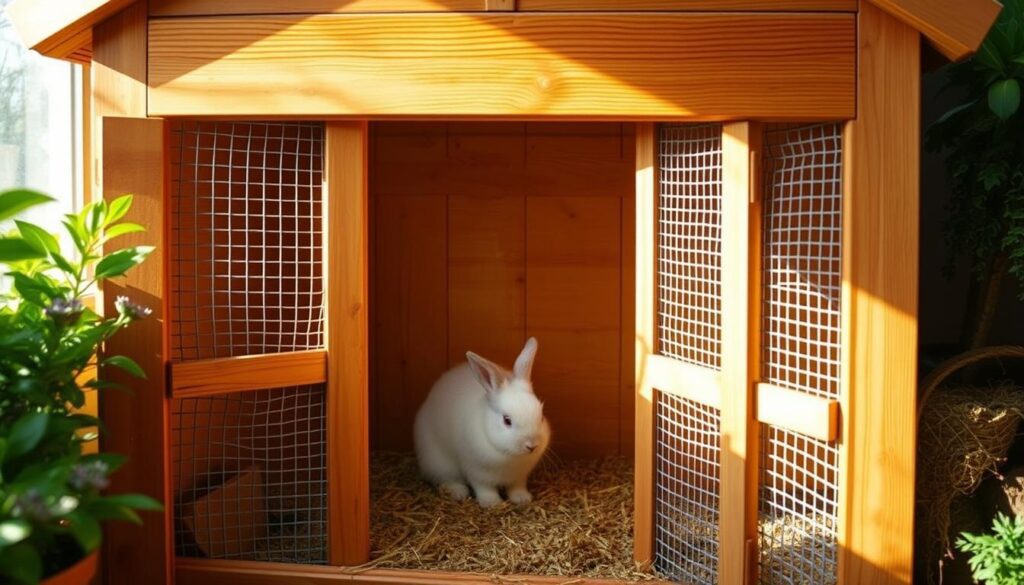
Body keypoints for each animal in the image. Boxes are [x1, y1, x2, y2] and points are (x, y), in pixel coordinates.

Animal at [413, 337, 550, 508]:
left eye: (541, 415)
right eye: (507, 420)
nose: (532, 445)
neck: (509, 456)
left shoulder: (519, 476)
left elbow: (516, 487)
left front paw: (522, 498)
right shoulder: (476, 471)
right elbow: (484, 487)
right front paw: (491, 503)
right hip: (437, 462)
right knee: (443, 479)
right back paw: (458, 491)